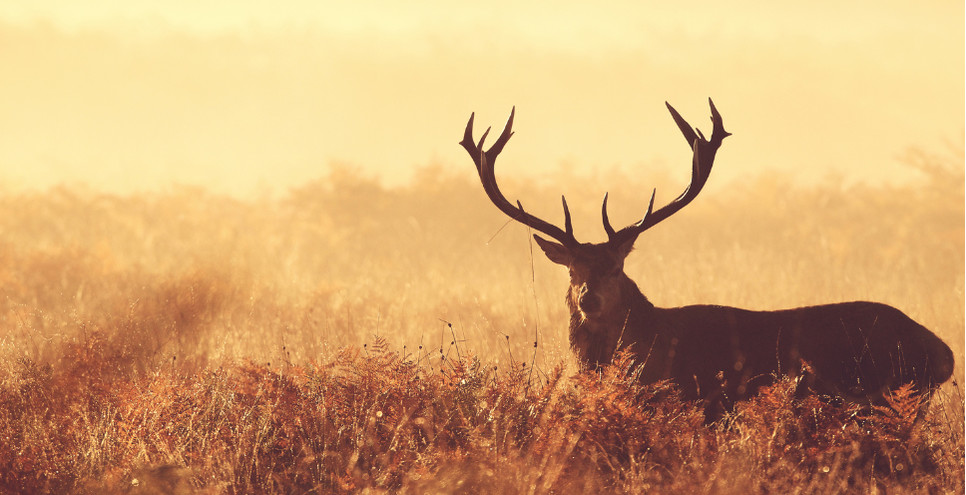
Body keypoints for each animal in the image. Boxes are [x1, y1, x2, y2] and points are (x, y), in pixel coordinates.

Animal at [464, 100, 960, 418]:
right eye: (572, 268)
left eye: (617, 267)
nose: (589, 299)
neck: (651, 345)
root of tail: (944, 353)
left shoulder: (701, 402)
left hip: (889, 396)